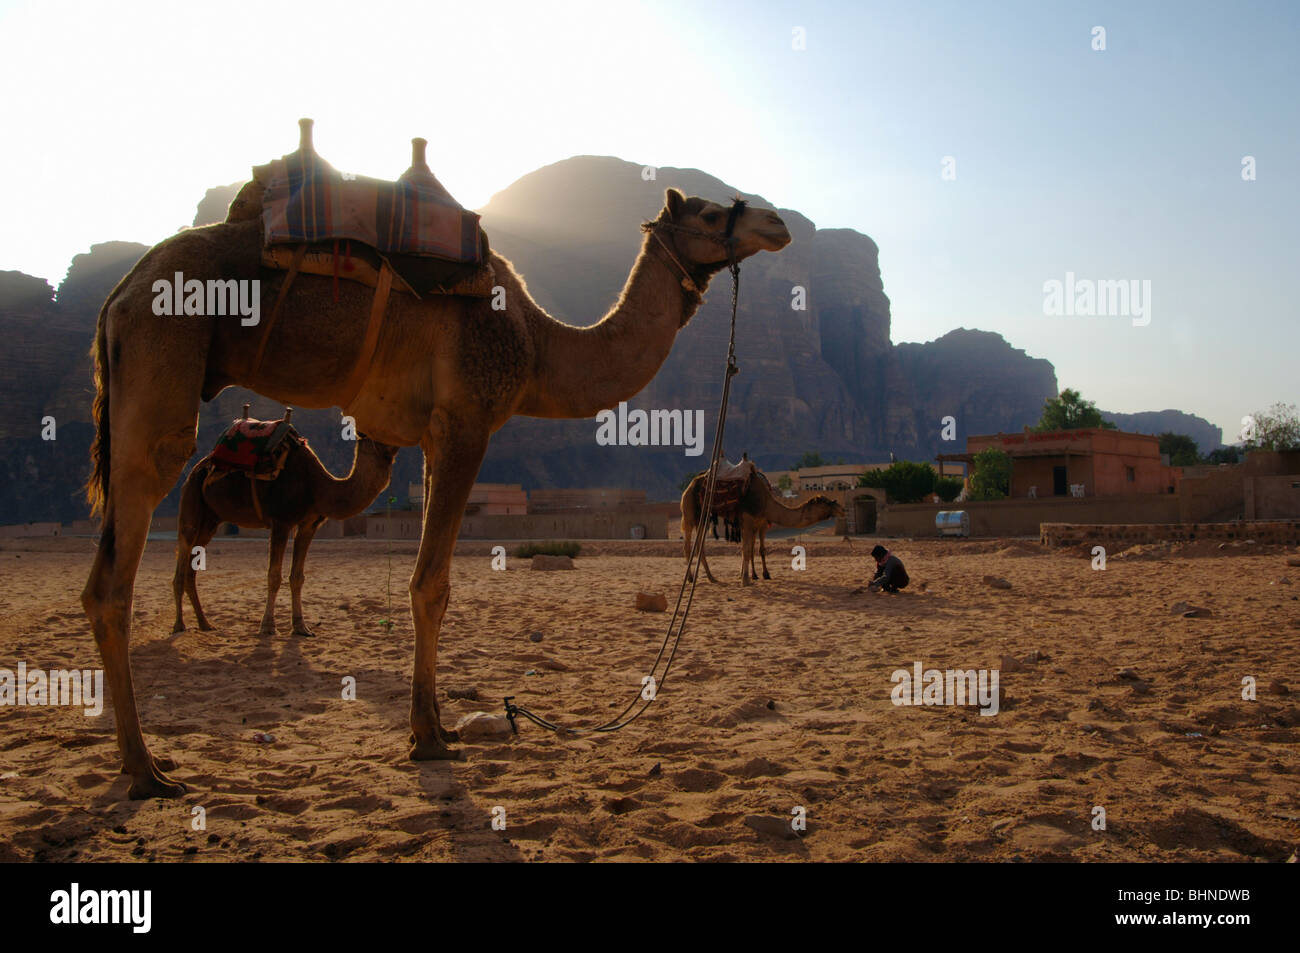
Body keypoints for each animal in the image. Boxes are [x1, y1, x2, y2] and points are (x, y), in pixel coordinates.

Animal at [172, 426, 395, 634]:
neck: (317, 486)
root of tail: (197, 468)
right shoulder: (281, 521)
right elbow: (274, 576)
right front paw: (268, 626)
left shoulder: (309, 525)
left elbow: (297, 577)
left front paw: (301, 627)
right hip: (192, 497)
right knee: (185, 548)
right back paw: (179, 625)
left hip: (211, 518)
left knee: (192, 567)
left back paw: (205, 623)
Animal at [681, 465, 842, 582]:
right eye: (827, 502)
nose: (841, 508)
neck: (766, 501)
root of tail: (689, 486)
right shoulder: (747, 520)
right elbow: (747, 550)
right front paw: (747, 577)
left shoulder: (759, 523)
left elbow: (756, 550)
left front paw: (760, 574)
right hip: (689, 512)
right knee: (688, 545)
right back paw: (690, 577)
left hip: (703, 518)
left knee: (699, 546)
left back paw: (710, 577)